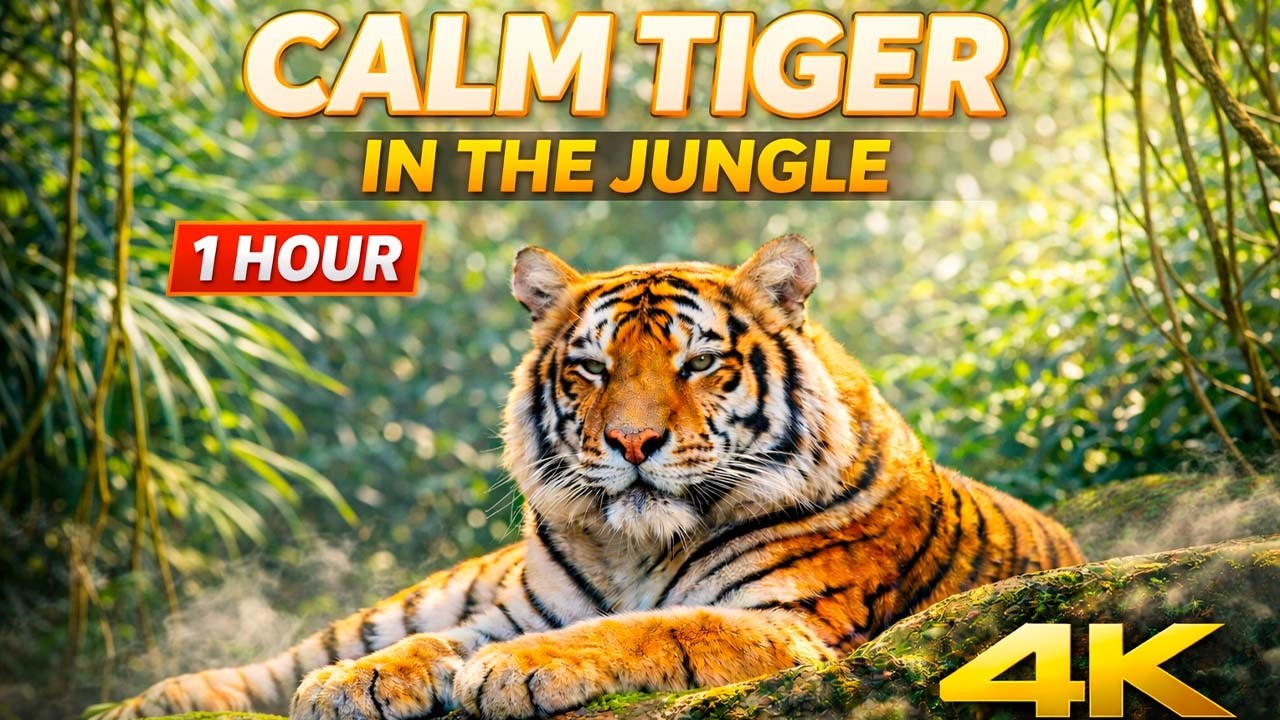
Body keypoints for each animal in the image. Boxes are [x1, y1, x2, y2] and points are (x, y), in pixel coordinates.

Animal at [97, 235, 1083, 720]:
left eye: (699, 364)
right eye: (591, 368)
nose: (634, 442)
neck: (632, 547)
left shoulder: (791, 627)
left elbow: (649, 629)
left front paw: (512, 674)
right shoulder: (511, 606)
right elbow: (430, 644)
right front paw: (362, 683)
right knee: (284, 660)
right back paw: (146, 702)